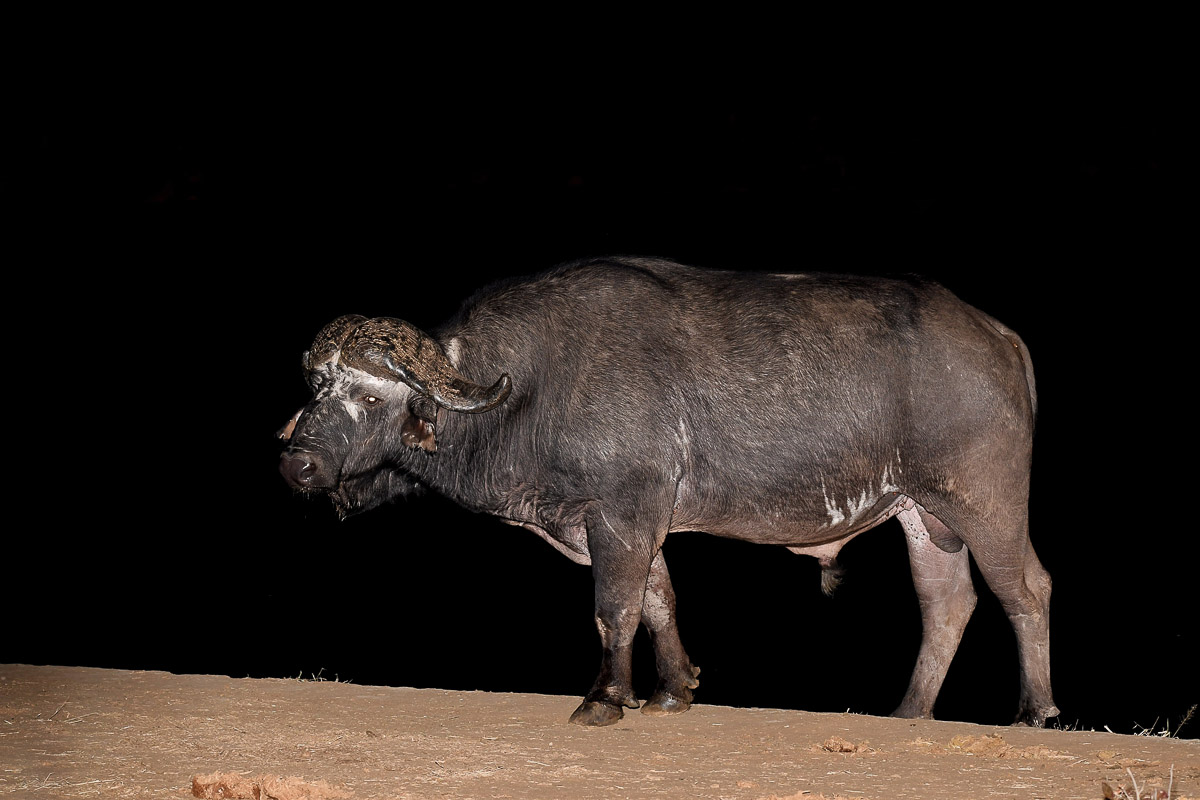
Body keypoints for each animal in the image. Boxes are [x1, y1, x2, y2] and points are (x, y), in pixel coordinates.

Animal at [278, 256, 1059, 728]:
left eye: (370, 397)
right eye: (316, 389)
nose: (299, 466)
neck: (533, 386)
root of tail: (998, 336)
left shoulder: (621, 515)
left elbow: (614, 608)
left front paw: (603, 699)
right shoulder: (634, 522)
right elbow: (658, 601)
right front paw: (672, 689)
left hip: (983, 504)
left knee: (1024, 590)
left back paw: (1035, 710)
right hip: (923, 516)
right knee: (948, 603)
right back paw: (909, 712)